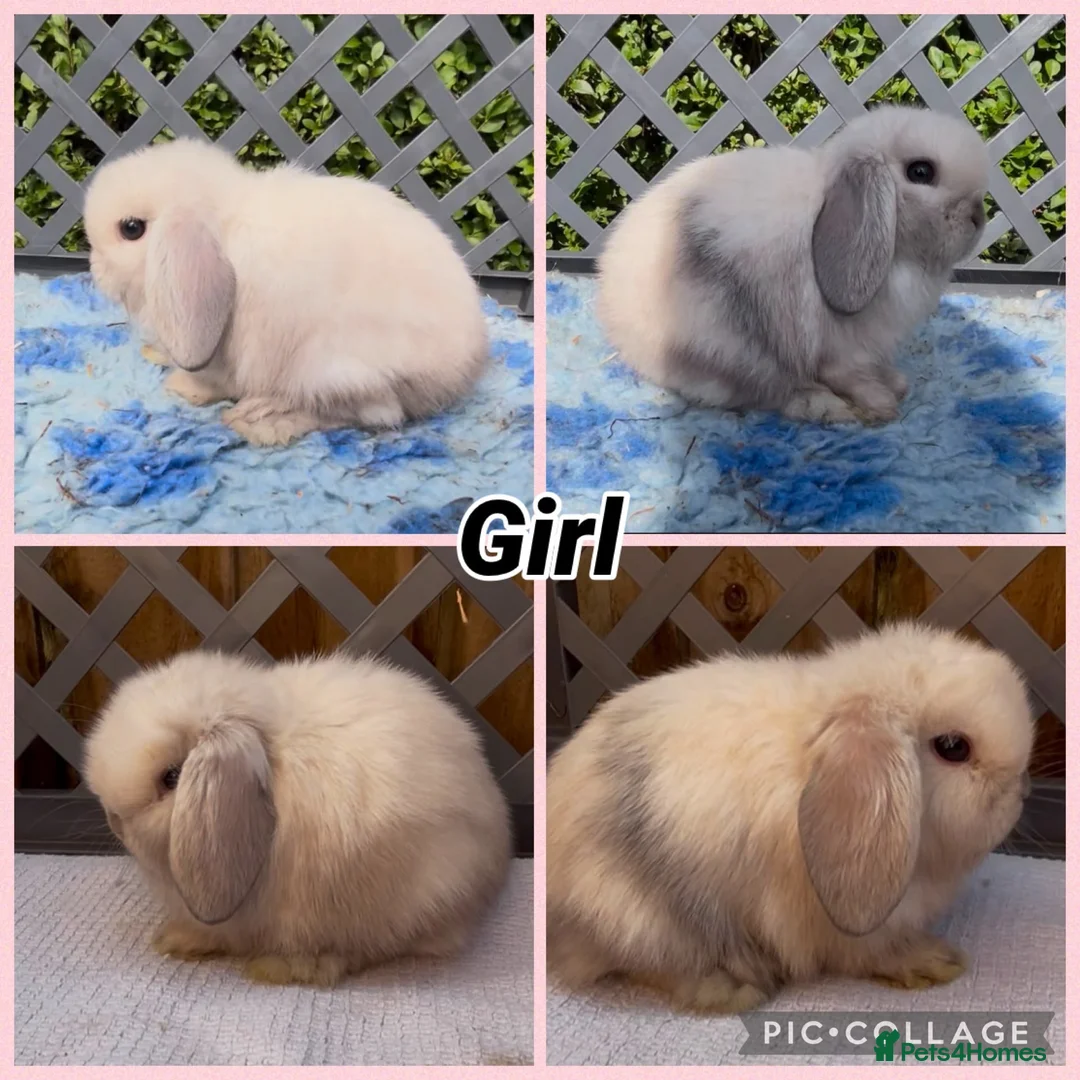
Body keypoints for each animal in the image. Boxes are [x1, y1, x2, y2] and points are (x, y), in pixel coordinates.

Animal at [82, 137, 489, 446]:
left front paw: (182, 388)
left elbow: (210, 380)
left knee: (373, 413)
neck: (224, 221)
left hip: (333, 369)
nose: (93, 267)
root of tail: (464, 368)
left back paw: (260, 419)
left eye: (131, 229)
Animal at [547, 622, 1033, 1013]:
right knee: (652, 965)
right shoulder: (847, 928)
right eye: (953, 747)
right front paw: (935, 961)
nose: (1019, 794)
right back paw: (732, 989)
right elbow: (872, 953)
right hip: (643, 917)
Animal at [596, 105, 991, 425]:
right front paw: (882, 402)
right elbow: (851, 376)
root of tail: (617, 326)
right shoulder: (839, 349)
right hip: (732, 349)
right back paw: (828, 409)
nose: (978, 216)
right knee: (769, 393)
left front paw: (897, 382)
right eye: (921, 171)